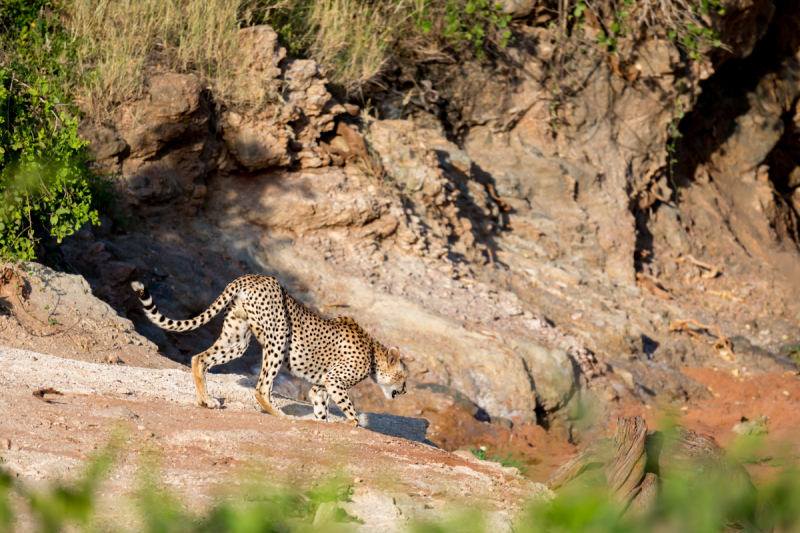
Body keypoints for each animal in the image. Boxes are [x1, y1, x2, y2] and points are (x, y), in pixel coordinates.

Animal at [131, 274, 410, 428]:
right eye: (404, 377)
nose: (405, 390)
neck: (374, 355)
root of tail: (255, 276)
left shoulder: (322, 384)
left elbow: (320, 404)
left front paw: (322, 421)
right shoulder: (334, 380)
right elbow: (349, 409)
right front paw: (352, 422)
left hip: (237, 338)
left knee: (199, 358)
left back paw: (206, 401)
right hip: (278, 336)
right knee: (261, 387)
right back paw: (280, 414)